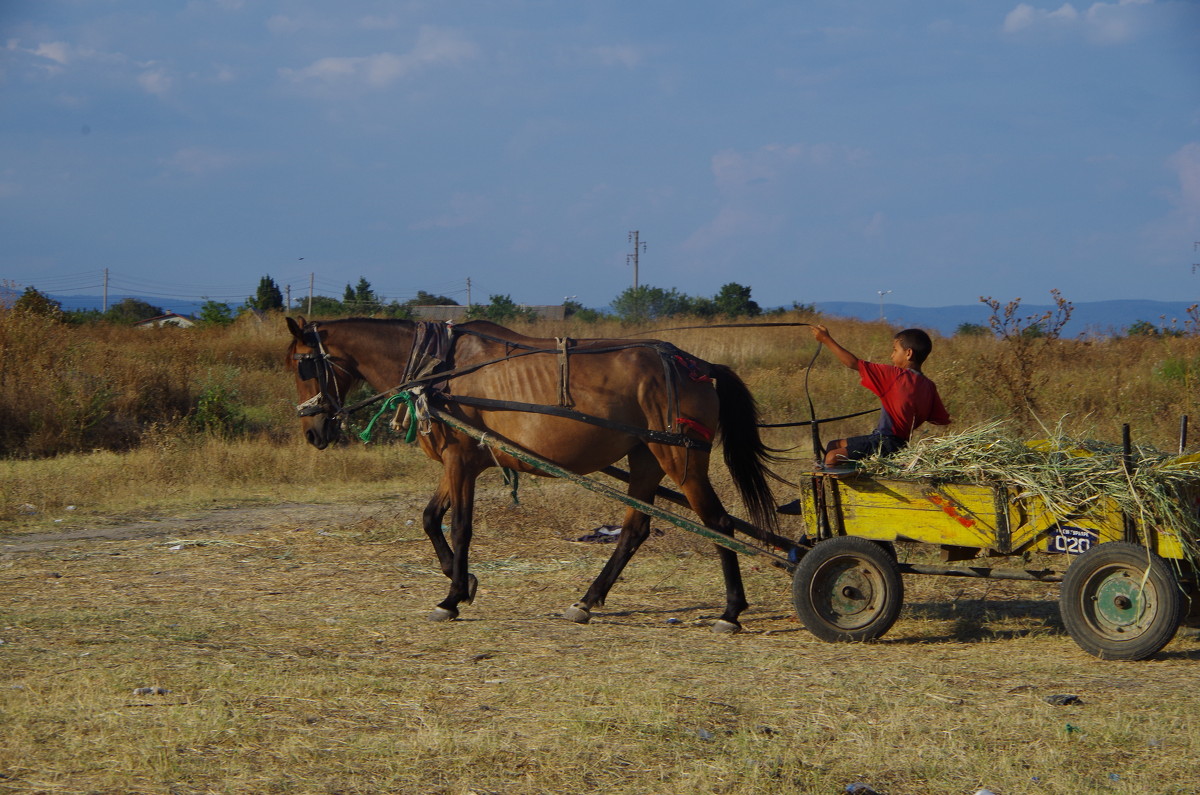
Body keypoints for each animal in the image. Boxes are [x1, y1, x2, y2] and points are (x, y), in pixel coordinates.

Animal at [286, 317, 782, 634]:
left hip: (680, 458)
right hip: (645, 459)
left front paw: (451, 598)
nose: (313, 431)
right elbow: (430, 519)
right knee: (634, 531)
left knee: (718, 525)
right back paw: (586, 601)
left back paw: (731, 612)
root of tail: (695, 365)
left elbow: (461, 527)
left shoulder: (460, 460)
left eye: (303, 364)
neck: (440, 371)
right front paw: (464, 582)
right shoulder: (458, 460)